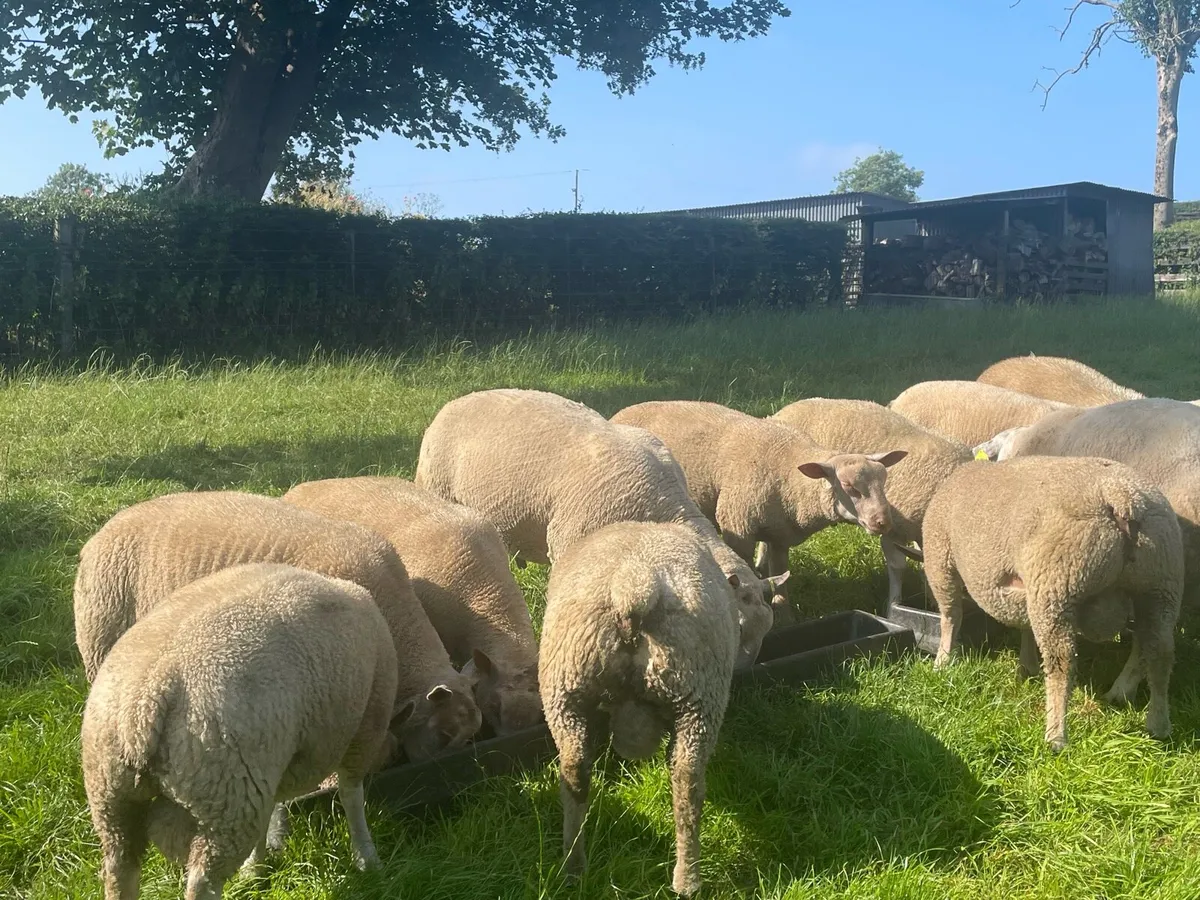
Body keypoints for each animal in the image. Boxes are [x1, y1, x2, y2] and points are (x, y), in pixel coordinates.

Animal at [82, 563, 400, 899]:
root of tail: (143, 703)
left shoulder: (274, 766)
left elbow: (273, 812)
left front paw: (255, 869)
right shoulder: (366, 725)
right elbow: (352, 796)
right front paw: (367, 858)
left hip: (111, 798)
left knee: (120, 868)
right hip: (228, 796)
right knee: (202, 883)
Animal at [415, 388, 787, 669]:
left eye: (768, 629)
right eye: (737, 627)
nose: (743, 676)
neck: (661, 508)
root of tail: (455, 401)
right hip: (437, 489)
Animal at [539, 521, 740, 897]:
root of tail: (634, 585)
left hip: (566, 689)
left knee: (574, 770)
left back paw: (573, 865)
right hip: (700, 694)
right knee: (688, 782)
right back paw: (687, 878)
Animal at [610, 400, 906, 619]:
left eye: (884, 480)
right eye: (848, 486)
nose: (883, 522)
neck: (791, 476)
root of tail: (623, 411)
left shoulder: (780, 535)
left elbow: (782, 576)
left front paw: (784, 613)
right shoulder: (737, 528)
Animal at [922, 456, 1183, 750]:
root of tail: (1122, 497)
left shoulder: (940, 558)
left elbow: (950, 616)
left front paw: (942, 661)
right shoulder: (1025, 591)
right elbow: (1024, 626)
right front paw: (1027, 667)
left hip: (1058, 584)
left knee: (1063, 662)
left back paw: (1056, 734)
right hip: (1160, 584)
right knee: (1159, 652)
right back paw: (1157, 724)